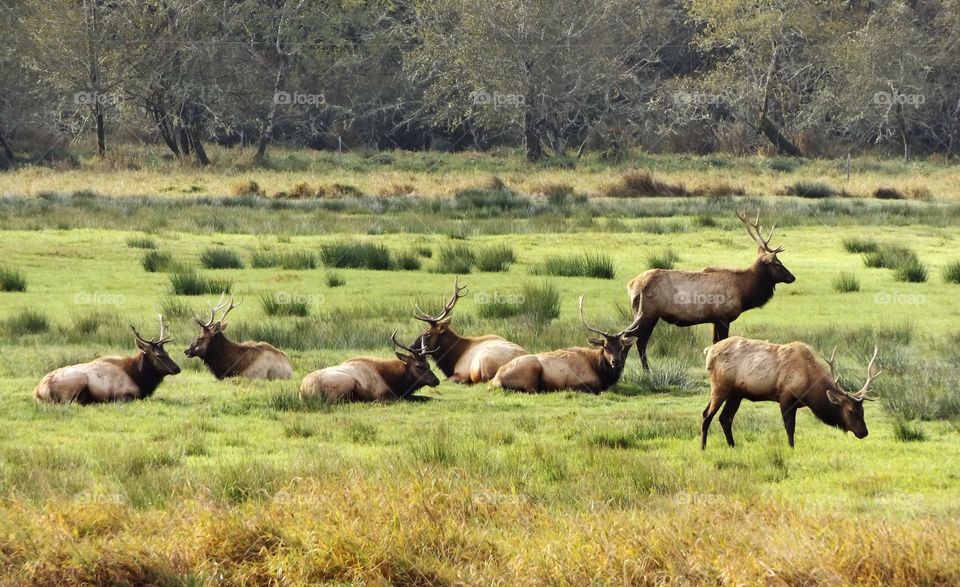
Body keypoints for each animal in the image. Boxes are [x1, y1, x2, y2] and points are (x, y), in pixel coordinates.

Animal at [35, 315, 181, 404]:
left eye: (167, 352)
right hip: (76, 382)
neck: (139, 378)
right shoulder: (124, 393)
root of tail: (39, 391)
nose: (177, 368)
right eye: (158, 355)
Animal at [300, 332, 441, 402]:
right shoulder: (384, 395)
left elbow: (426, 397)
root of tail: (305, 390)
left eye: (428, 364)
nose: (436, 380)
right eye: (418, 366)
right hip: (346, 382)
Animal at [490, 296, 644, 393]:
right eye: (605, 347)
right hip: (531, 370)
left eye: (621, 346)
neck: (601, 372)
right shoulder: (579, 382)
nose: (616, 361)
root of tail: (495, 380)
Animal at [626, 210, 796, 371]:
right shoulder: (723, 316)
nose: (792, 277)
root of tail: (631, 285)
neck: (743, 292)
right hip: (648, 313)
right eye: (778, 264)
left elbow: (715, 343)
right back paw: (646, 369)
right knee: (638, 339)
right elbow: (722, 342)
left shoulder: (715, 318)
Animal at [702, 336, 880, 449]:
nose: (864, 432)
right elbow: (790, 427)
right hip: (720, 386)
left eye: (862, 410)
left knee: (725, 418)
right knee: (707, 415)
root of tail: (708, 350)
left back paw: (732, 446)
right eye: (850, 411)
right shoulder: (786, 397)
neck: (809, 388)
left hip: (736, 394)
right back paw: (703, 447)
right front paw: (791, 448)